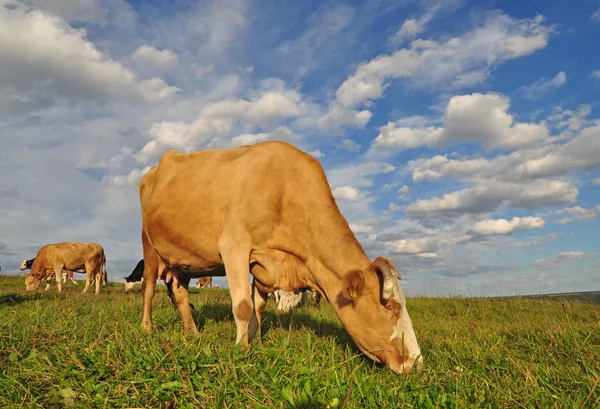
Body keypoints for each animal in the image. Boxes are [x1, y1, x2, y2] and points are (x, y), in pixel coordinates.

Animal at [139, 142, 422, 374]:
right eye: (390, 306)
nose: (416, 362)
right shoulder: (234, 247)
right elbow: (243, 306)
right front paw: (241, 350)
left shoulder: (263, 266)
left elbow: (259, 307)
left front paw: (257, 343)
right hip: (148, 245)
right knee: (149, 289)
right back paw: (147, 328)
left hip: (182, 260)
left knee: (179, 293)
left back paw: (192, 332)